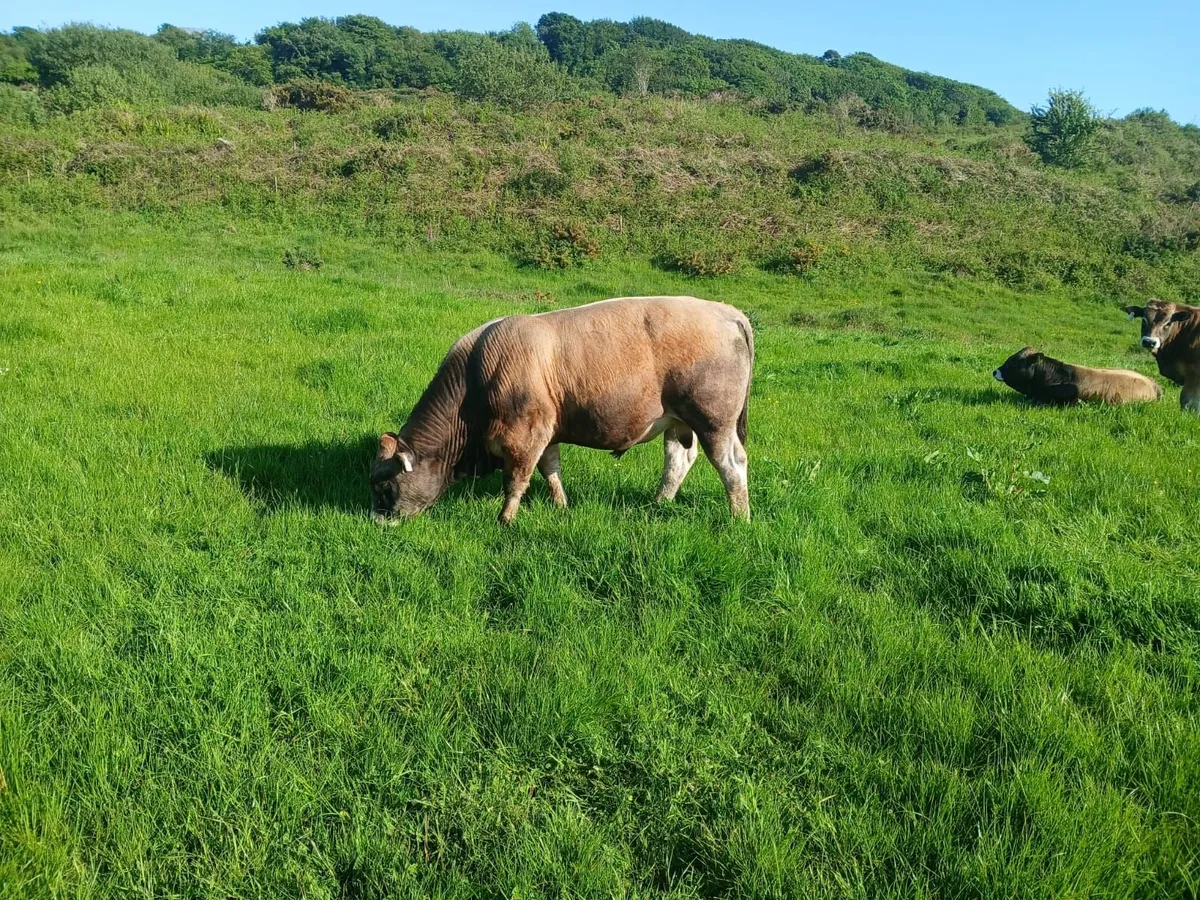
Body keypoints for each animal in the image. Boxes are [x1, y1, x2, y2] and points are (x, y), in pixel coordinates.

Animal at [371, 296, 754, 525]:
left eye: (385, 487)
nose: (376, 521)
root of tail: (728, 311)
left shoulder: (523, 436)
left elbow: (517, 479)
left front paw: (505, 519)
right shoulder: (547, 431)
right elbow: (550, 469)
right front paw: (561, 505)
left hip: (714, 420)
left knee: (732, 464)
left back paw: (740, 516)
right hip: (678, 422)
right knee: (678, 460)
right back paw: (659, 503)